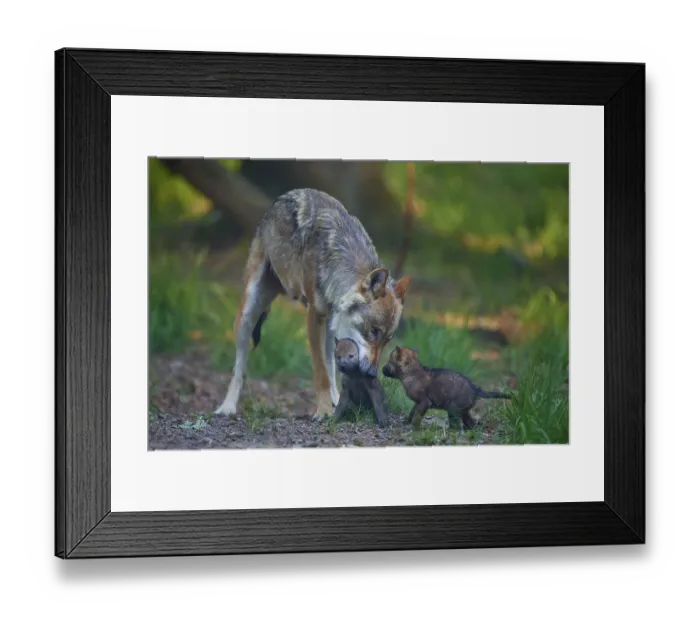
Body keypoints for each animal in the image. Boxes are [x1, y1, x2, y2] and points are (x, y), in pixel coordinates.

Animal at [214, 188, 412, 420]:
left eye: (387, 340)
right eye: (374, 331)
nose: (372, 372)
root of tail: (280, 199)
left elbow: (330, 369)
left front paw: (334, 404)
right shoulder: (313, 315)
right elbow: (321, 373)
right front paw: (324, 411)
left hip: (331, 329)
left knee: (332, 364)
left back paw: (336, 398)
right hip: (248, 312)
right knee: (239, 369)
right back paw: (227, 407)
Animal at [382, 346, 510, 430]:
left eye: (389, 361)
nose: (382, 369)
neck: (412, 372)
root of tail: (476, 388)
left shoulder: (424, 402)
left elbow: (417, 416)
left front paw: (414, 427)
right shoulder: (417, 403)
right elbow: (412, 412)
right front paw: (407, 421)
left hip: (454, 408)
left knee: (461, 423)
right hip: (459, 410)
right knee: (471, 422)